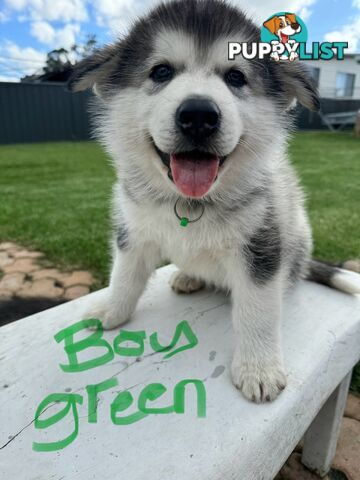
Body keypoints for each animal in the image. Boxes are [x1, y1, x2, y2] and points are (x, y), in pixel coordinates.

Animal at [68, 0, 360, 402]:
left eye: (236, 77)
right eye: (161, 71)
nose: (198, 115)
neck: (190, 202)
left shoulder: (261, 246)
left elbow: (257, 310)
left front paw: (258, 367)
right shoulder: (134, 230)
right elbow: (125, 276)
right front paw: (112, 311)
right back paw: (189, 276)